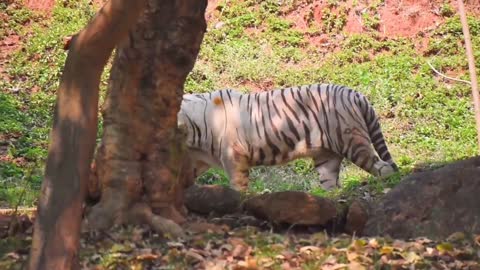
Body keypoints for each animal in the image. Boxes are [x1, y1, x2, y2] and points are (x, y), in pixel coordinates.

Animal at [178, 83, 400, 191]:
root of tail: (356, 94)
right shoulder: (198, 160)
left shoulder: (235, 158)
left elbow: (238, 186)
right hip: (326, 157)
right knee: (332, 184)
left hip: (353, 141)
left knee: (383, 168)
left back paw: (386, 186)